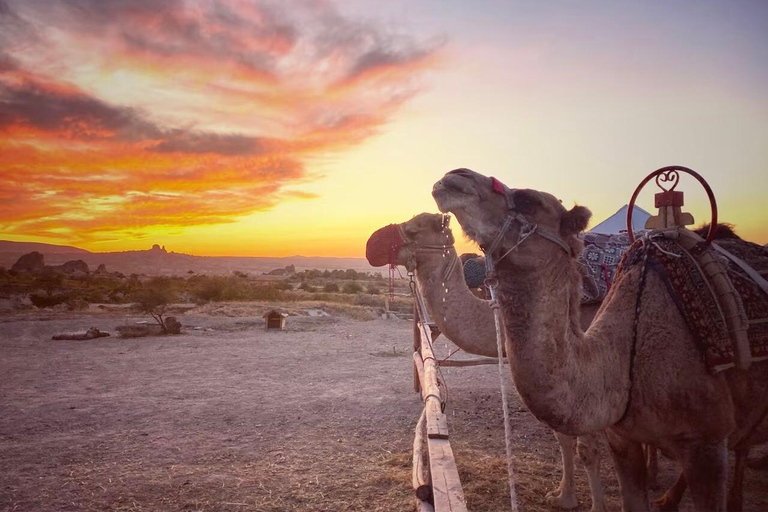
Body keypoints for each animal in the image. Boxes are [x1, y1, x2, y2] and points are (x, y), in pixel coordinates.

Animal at [432, 168, 768, 511]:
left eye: (529, 200)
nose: (455, 176)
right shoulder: (618, 432)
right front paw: (566, 496)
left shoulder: (706, 443)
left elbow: (585, 446)